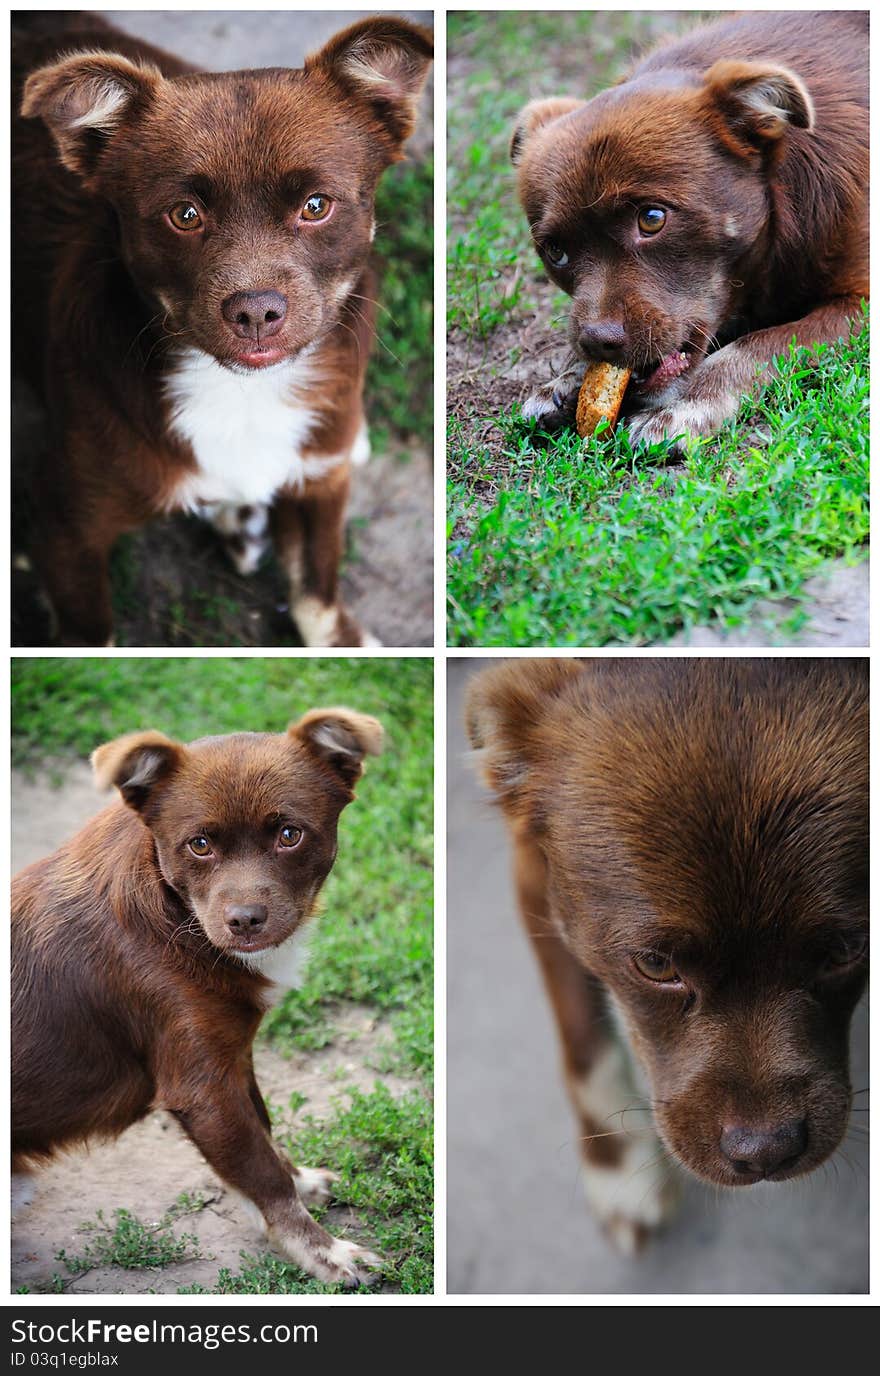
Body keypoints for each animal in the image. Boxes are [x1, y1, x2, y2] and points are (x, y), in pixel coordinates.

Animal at [10, 12, 429, 643]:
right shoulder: (65, 530)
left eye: (316, 205)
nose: (255, 312)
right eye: (184, 215)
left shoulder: (321, 489)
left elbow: (318, 594)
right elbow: (92, 638)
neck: (243, 394)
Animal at [11, 710, 385, 1287]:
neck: (173, 912)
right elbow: (262, 1173)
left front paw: (301, 1182)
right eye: (200, 845)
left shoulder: (232, 1055)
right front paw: (327, 1255)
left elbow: (264, 1134)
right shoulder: (202, 1089)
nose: (245, 921)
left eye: (289, 835)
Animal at [467, 660, 869, 1254]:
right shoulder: (534, 872)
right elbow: (585, 1042)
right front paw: (619, 1170)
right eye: (656, 965)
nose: (765, 1153)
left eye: (844, 951)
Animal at [517, 12, 869, 451]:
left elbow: (757, 344)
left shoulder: (858, 302)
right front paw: (567, 377)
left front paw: (687, 405)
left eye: (652, 218)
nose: (598, 341)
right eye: (555, 251)